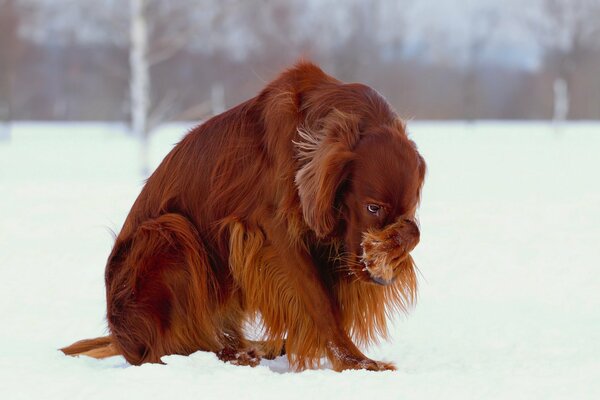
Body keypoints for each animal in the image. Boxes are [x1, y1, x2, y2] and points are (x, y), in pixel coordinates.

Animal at [62, 62, 426, 372]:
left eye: (407, 210)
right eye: (372, 208)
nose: (379, 280)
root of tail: (121, 337)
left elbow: (413, 233)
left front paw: (392, 250)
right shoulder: (276, 233)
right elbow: (321, 303)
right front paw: (356, 362)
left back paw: (259, 346)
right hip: (170, 231)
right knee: (165, 350)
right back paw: (233, 355)